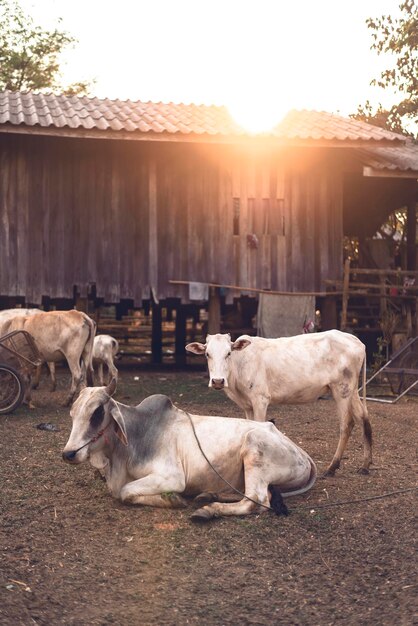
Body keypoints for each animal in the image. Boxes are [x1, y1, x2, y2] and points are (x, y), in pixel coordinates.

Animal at [62, 378, 316, 520]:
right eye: (72, 413)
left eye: (97, 413)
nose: (68, 454)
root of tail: (303, 454)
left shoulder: (171, 477)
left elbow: (125, 492)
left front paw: (174, 500)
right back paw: (207, 495)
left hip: (255, 449)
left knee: (256, 500)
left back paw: (209, 509)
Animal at [186, 330, 372, 476]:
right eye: (207, 354)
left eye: (228, 353)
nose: (217, 381)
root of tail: (357, 341)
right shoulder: (247, 404)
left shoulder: (260, 398)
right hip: (352, 390)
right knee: (363, 417)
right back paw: (365, 465)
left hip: (341, 389)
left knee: (347, 423)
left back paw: (332, 467)